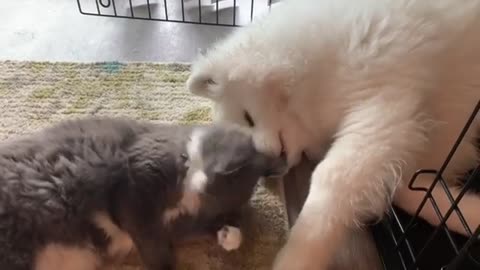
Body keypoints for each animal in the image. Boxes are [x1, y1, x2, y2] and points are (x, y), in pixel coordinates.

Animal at [0, 117, 284, 270]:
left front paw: (229, 235)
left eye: (228, 184)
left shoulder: (183, 224)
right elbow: (151, 243)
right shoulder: (135, 184)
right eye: (229, 170)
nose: (204, 185)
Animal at [186, 1, 480, 268]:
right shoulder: (415, 133)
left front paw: (296, 259)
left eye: (248, 118)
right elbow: (412, 188)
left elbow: (333, 179)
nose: (268, 171)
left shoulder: (387, 103)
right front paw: (471, 214)